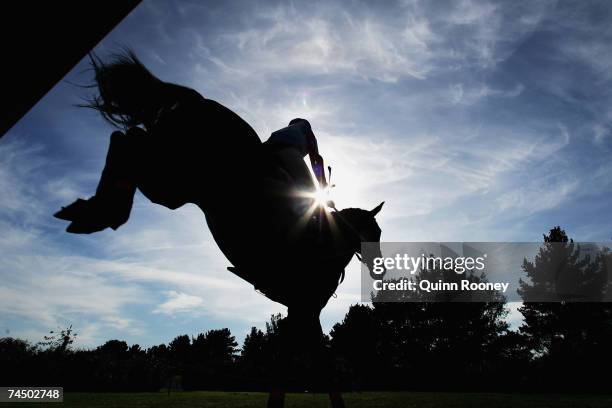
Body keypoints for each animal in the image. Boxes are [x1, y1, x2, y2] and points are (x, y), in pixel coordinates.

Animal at [56, 51, 382, 408]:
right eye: (375, 233)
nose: (379, 268)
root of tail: (200, 100)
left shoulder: (301, 310)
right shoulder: (303, 309)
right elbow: (312, 367)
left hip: (173, 181)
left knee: (128, 139)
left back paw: (92, 210)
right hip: (175, 181)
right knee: (128, 141)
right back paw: (102, 211)